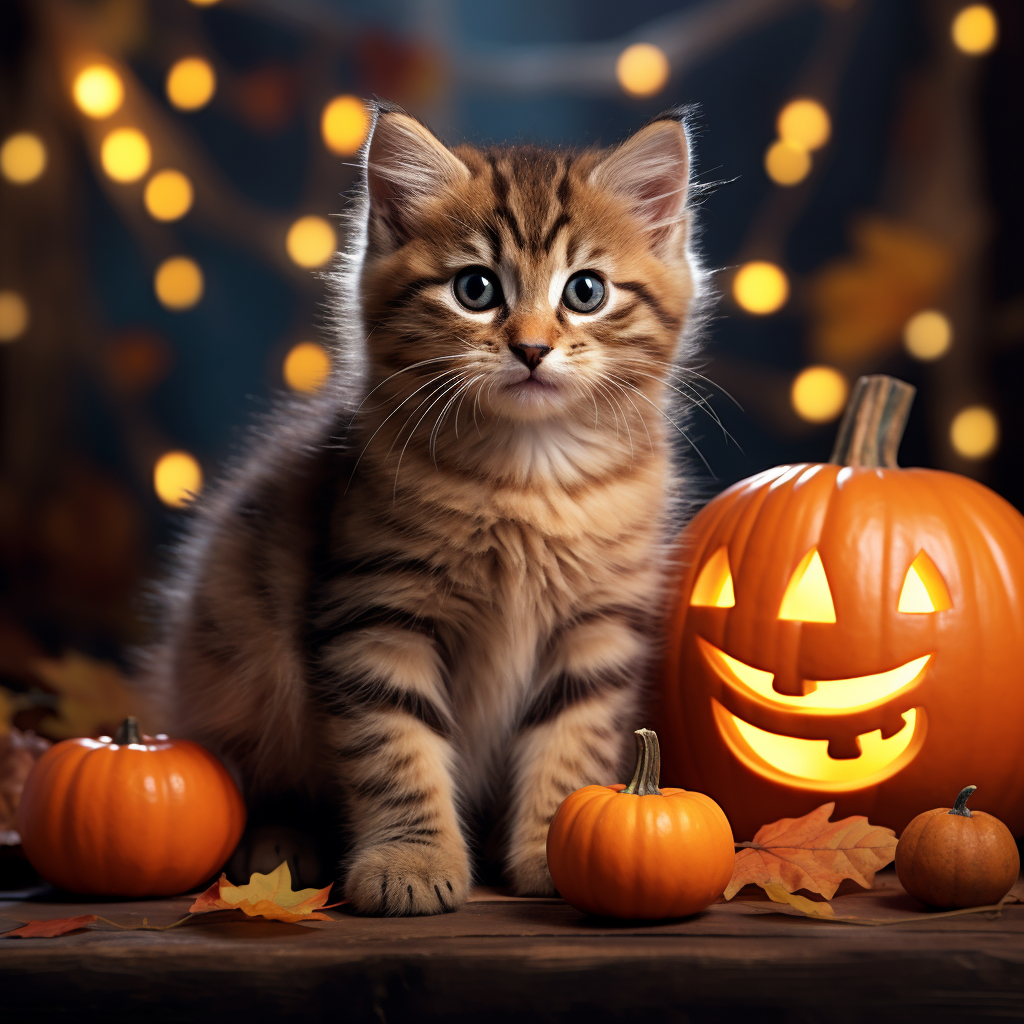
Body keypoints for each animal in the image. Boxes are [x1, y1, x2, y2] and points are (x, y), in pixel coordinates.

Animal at [144, 99, 704, 917]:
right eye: (475, 289)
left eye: (585, 292)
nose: (532, 348)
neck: (528, 477)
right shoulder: (375, 613)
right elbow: (396, 750)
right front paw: (409, 859)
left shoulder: (597, 627)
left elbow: (572, 743)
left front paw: (558, 848)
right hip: (236, 653)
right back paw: (279, 851)